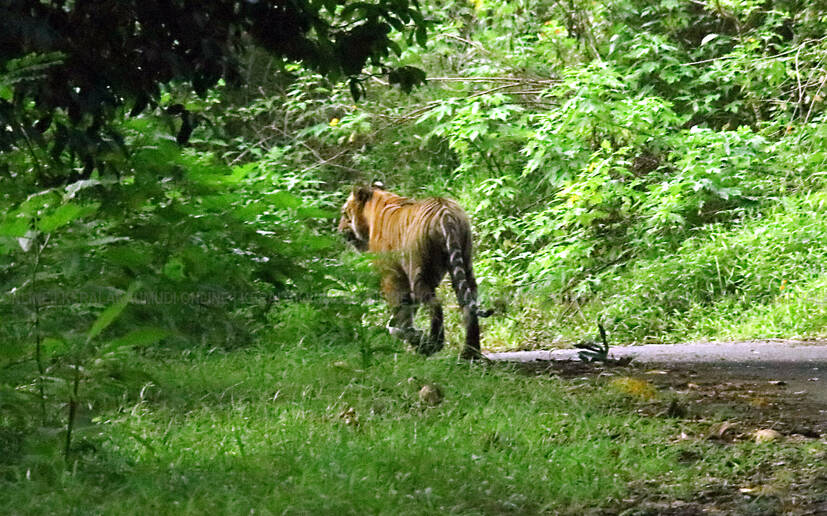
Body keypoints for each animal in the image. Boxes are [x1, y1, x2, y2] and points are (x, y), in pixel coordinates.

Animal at [338, 182, 485, 359]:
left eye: (345, 212)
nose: (339, 229)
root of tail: (445, 212)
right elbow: (405, 314)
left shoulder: (391, 276)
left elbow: (400, 316)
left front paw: (416, 338)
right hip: (465, 263)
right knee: (469, 305)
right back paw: (470, 352)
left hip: (418, 272)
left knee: (435, 304)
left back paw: (435, 344)